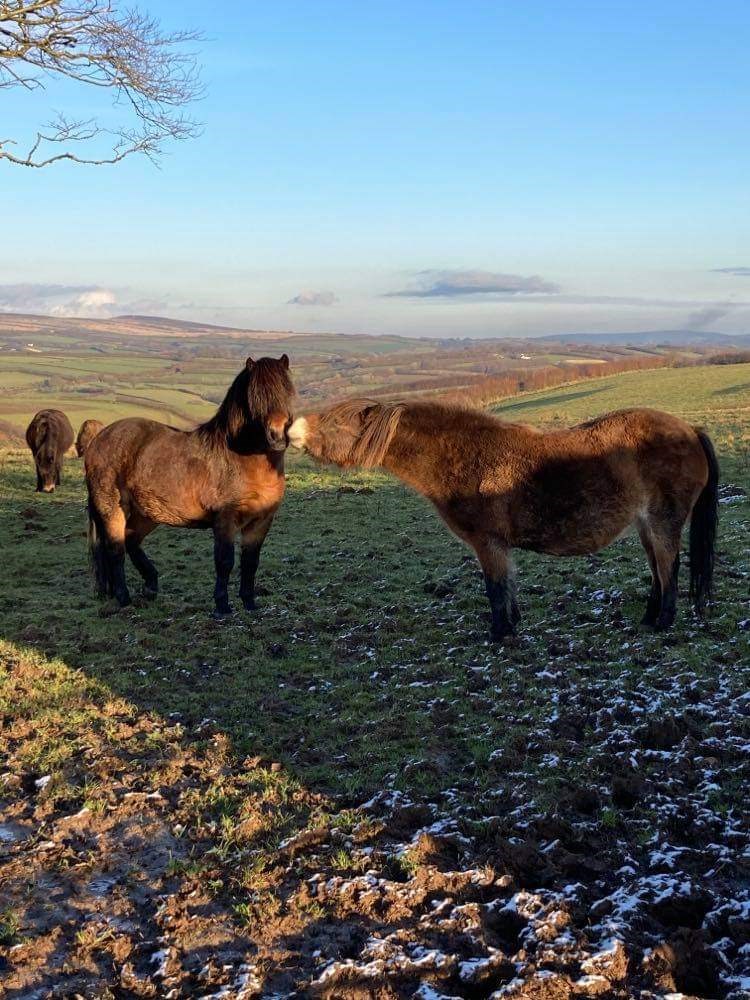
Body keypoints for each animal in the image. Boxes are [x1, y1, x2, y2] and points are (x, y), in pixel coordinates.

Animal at [85, 355, 295, 616]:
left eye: (287, 391)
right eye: (255, 396)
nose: (277, 436)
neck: (242, 458)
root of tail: (99, 439)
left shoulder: (262, 521)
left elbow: (250, 562)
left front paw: (250, 604)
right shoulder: (225, 519)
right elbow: (224, 561)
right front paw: (222, 606)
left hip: (146, 514)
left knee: (131, 541)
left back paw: (150, 588)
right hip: (112, 509)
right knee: (116, 549)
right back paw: (124, 598)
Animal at [288, 399, 719, 639]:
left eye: (337, 423)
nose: (290, 429)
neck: (467, 456)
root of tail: (690, 430)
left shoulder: (488, 543)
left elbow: (495, 587)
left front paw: (500, 634)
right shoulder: (498, 546)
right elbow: (507, 585)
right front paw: (512, 624)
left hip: (662, 522)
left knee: (668, 568)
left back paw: (663, 623)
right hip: (646, 526)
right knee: (658, 571)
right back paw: (648, 619)